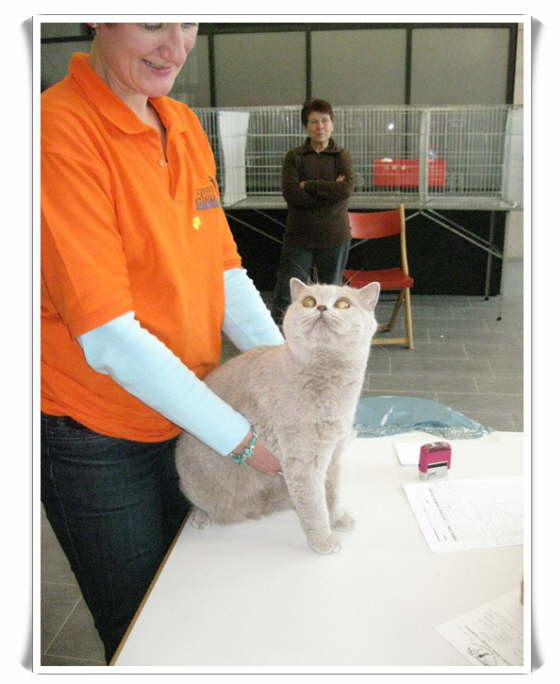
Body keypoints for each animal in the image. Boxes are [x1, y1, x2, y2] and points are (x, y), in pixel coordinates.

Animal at [175, 277, 380, 554]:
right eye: (309, 301)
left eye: (343, 304)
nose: (322, 307)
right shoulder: (303, 463)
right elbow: (315, 506)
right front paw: (323, 540)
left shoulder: (334, 454)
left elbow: (332, 493)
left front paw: (337, 518)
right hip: (197, 486)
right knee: (199, 503)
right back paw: (201, 517)